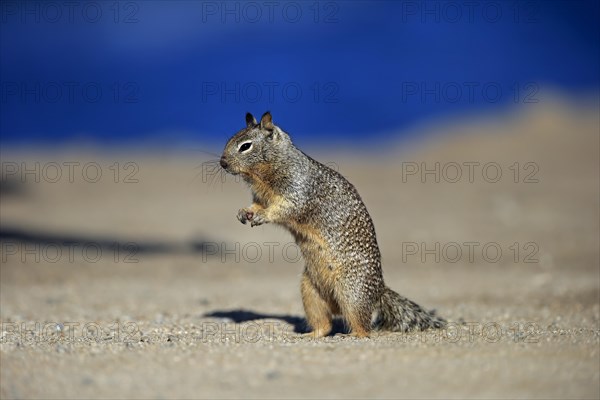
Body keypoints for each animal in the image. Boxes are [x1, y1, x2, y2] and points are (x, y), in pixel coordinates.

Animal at [220, 111, 446, 338]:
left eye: (245, 146)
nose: (222, 163)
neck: (265, 172)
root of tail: (379, 290)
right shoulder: (260, 197)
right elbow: (255, 205)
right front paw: (243, 212)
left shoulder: (296, 191)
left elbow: (284, 209)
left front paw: (262, 216)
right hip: (310, 291)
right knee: (325, 324)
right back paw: (311, 335)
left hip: (351, 292)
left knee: (363, 326)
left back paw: (351, 335)